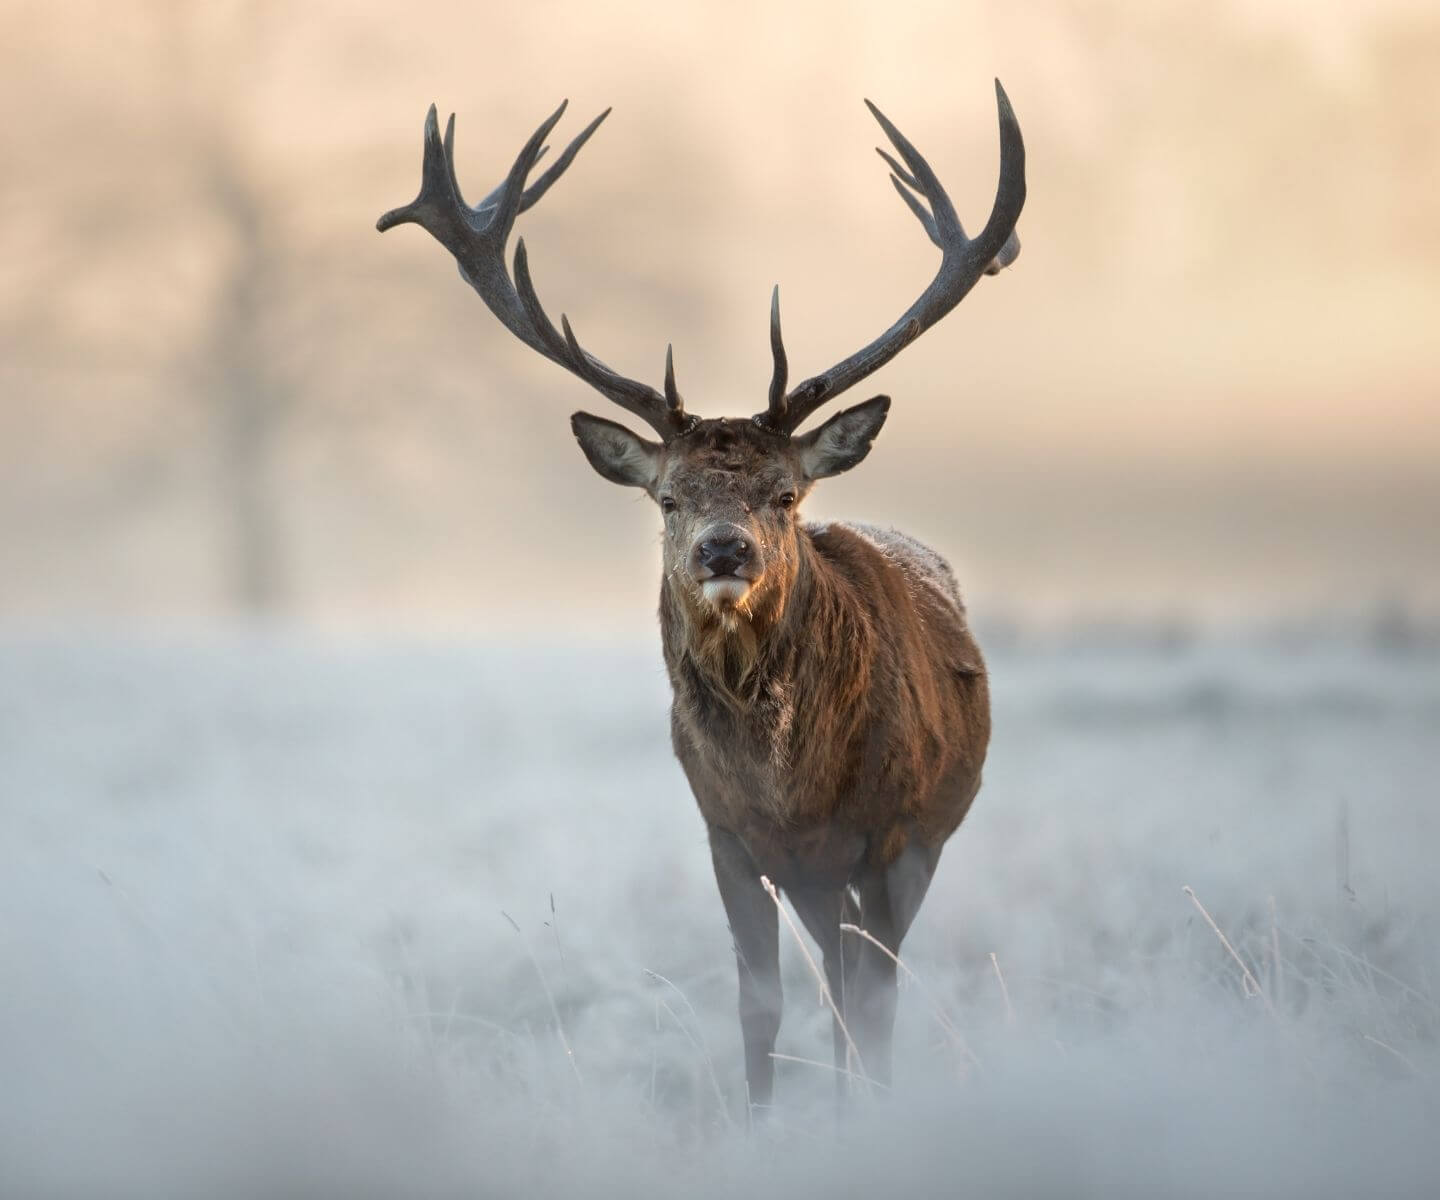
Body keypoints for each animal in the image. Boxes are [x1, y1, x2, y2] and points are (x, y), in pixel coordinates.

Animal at [377, 81, 1025, 1113]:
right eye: (670, 497)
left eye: (786, 494)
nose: (726, 548)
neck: (792, 790)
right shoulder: (727, 835)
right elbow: (760, 1004)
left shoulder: (892, 835)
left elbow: (874, 1006)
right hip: (815, 879)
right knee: (833, 979)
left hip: (919, 839)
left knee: (859, 987)